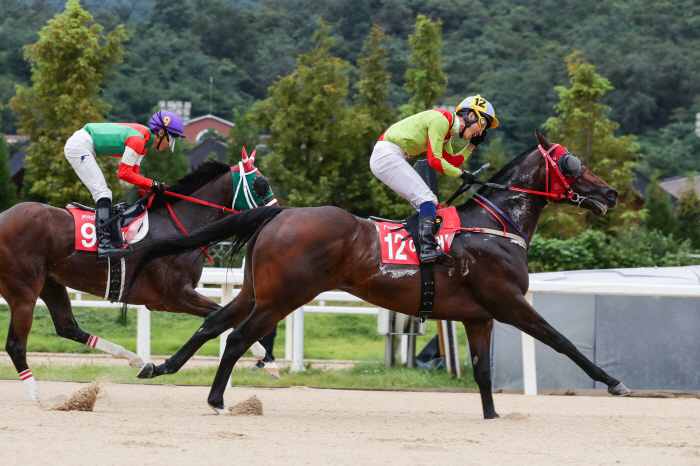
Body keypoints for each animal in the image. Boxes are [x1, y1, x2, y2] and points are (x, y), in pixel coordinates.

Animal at [0, 153, 278, 400]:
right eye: (261, 184)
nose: (277, 212)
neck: (179, 225)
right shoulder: (175, 296)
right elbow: (219, 315)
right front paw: (266, 359)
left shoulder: (170, 299)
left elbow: (222, 316)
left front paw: (267, 360)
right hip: (24, 290)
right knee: (16, 345)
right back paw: (39, 397)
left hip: (51, 283)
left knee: (67, 326)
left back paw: (134, 358)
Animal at [126, 130, 628, 416]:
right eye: (572, 162)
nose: (611, 193)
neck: (496, 224)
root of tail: (279, 212)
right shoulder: (508, 303)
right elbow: (562, 342)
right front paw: (614, 382)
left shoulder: (478, 316)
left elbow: (483, 373)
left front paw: (492, 416)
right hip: (283, 297)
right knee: (237, 338)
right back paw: (216, 399)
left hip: (257, 291)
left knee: (213, 323)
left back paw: (162, 366)